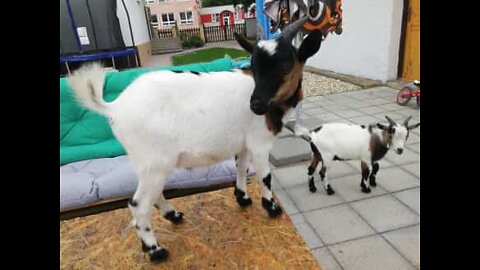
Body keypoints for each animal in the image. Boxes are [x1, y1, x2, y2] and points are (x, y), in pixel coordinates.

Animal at [67, 16, 322, 262]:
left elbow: (240, 168)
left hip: (149, 163)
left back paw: (173, 215)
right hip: (155, 161)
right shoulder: (259, 143)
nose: (256, 105)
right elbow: (266, 177)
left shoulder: (242, 143)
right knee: (138, 204)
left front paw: (242, 198)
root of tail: (115, 106)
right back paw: (156, 251)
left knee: (153, 195)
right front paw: (272, 208)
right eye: (254, 65)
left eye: (286, 65)